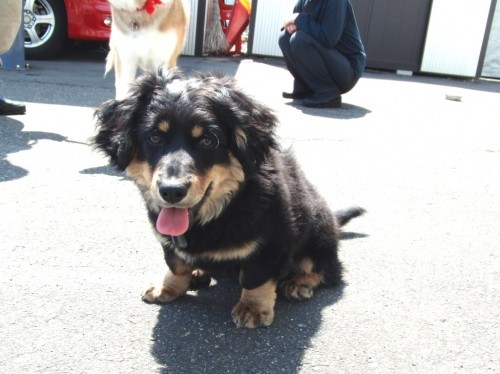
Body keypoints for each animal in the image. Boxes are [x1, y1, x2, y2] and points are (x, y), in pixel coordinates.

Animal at [92, 68, 366, 328]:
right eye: (154, 137)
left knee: (327, 270)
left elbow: (256, 277)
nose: (171, 191)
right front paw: (167, 288)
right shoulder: (168, 242)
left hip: (319, 234)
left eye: (207, 140)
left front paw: (253, 308)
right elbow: (176, 264)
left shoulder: (272, 243)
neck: (222, 209)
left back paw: (300, 283)